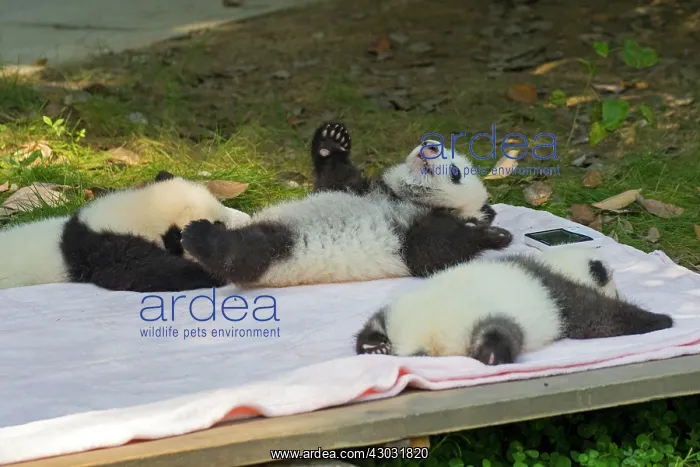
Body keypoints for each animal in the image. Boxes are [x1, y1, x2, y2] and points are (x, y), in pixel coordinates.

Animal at [180, 122, 514, 288]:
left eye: (455, 172)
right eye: (438, 146)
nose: (430, 146)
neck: (405, 198)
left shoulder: (407, 238)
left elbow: (430, 251)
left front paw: (490, 234)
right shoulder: (362, 190)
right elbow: (335, 179)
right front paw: (331, 140)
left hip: (286, 254)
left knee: (246, 253)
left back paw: (201, 237)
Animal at [354, 246, 673, 365]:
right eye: (616, 289)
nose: (620, 294)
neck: (555, 262)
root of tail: (420, 341)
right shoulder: (560, 292)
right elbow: (599, 317)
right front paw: (661, 320)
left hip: (399, 309)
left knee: (373, 323)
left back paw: (373, 346)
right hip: (491, 319)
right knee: (500, 334)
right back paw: (493, 355)